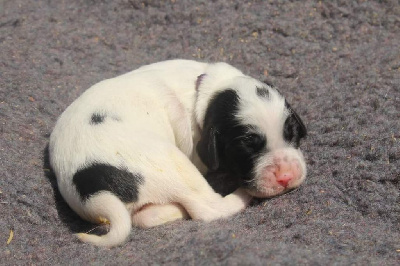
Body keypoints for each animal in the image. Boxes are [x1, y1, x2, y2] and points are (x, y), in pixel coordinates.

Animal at [48, 59, 308, 246]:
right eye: (246, 146)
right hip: (171, 161)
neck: (209, 91)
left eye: (292, 132)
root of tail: (92, 189)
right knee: (209, 208)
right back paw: (241, 195)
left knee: (143, 217)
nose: (286, 176)